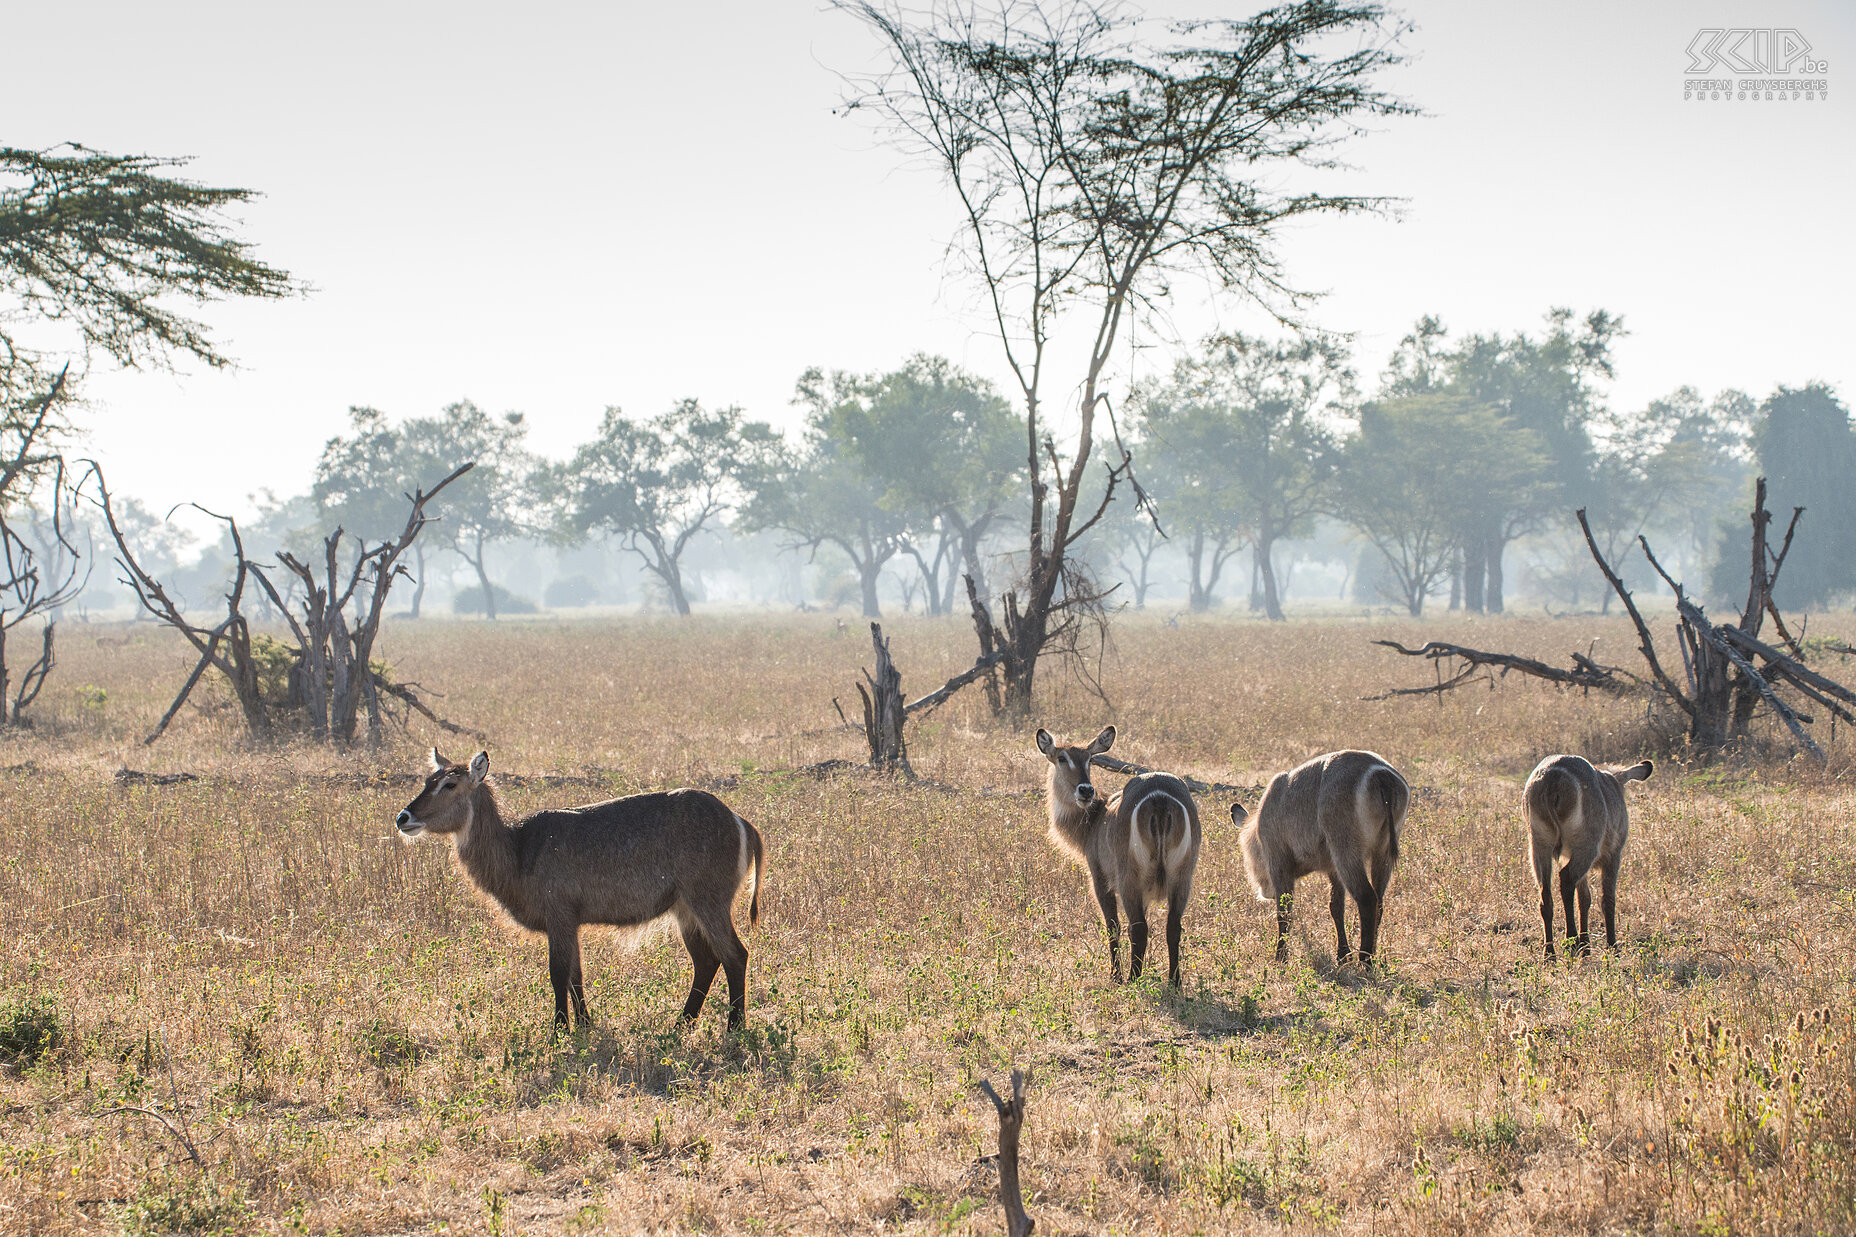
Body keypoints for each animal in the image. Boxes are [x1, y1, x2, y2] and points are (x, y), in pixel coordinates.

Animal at [395, 750, 764, 1032]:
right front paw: (585, 1026)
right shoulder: (571, 922)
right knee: (706, 961)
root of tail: (741, 822)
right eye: (427, 781)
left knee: (735, 955)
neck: (518, 849)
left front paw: (559, 1032)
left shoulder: (558, 915)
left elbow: (558, 974)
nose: (403, 817)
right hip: (685, 909)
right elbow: (576, 975)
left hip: (708, 900)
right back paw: (680, 1026)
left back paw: (733, 1028)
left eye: (450, 784)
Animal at [1031, 724, 1202, 980]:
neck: (1095, 819)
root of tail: (1160, 797)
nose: (1086, 791)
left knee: (1138, 928)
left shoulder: (1100, 878)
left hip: (1129, 877)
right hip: (1182, 876)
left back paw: (1133, 979)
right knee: (1173, 927)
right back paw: (1174, 981)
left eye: (1089, 759)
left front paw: (1115, 975)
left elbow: (1112, 926)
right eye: (1062, 758)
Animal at [1232, 750, 1403, 965]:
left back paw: (1365, 961)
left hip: (1346, 850)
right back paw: (1371, 954)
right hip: (1382, 853)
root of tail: (1381, 775)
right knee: (1379, 901)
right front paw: (1342, 956)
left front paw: (1280, 958)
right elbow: (1335, 907)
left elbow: (1284, 911)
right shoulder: (1332, 868)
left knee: (1367, 898)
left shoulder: (1278, 861)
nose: (1265, 892)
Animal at [1521, 750, 1655, 950]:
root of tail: (1553, 776)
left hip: (1539, 845)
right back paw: (1571, 940)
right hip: (1586, 847)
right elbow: (1607, 899)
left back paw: (1551, 952)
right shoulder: (1613, 855)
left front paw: (1586, 946)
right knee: (1566, 880)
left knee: (1545, 895)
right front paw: (1612, 946)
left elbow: (1584, 898)